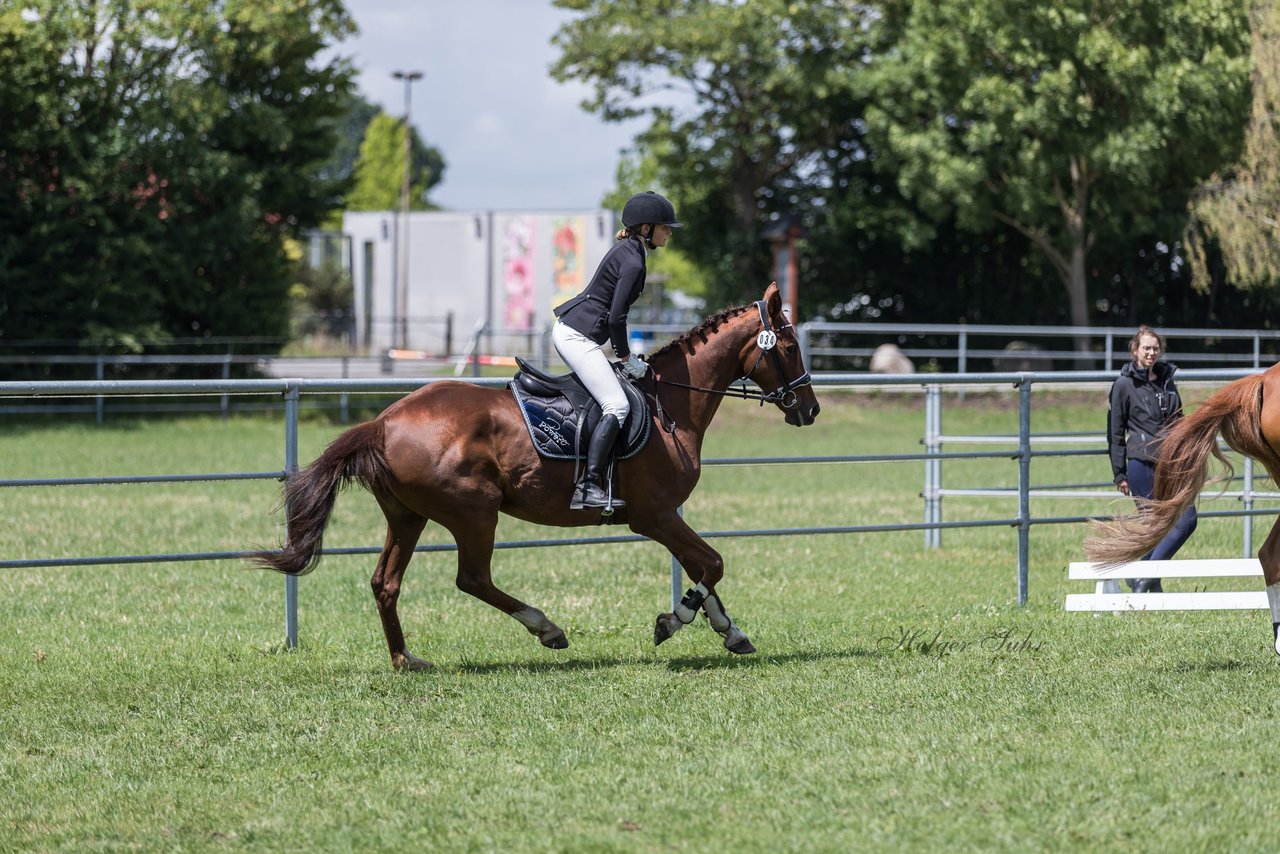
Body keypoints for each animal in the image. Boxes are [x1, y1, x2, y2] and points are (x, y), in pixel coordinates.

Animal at [252, 284, 819, 670]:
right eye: (790, 347)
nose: (809, 410)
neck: (670, 405)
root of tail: (384, 421)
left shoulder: (663, 518)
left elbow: (704, 569)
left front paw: (730, 631)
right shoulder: (654, 516)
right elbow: (713, 563)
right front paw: (671, 623)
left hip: (408, 516)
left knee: (385, 583)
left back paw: (405, 660)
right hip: (474, 513)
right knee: (472, 578)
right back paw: (546, 628)